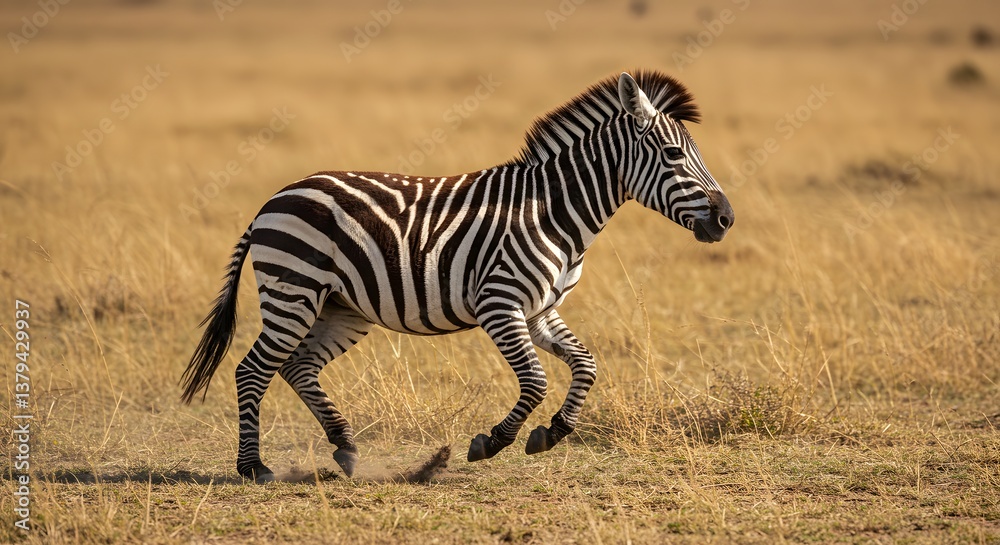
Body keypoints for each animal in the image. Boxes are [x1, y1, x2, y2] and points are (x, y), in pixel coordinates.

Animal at [180, 70, 734, 483]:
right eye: (674, 155)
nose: (726, 218)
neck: (552, 212)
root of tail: (274, 199)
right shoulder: (500, 304)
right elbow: (535, 380)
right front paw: (492, 442)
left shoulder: (541, 311)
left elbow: (587, 366)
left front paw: (552, 432)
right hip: (293, 292)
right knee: (253, 369)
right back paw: (254, 467)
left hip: (342, 308)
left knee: (298, 367)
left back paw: (346, 448)